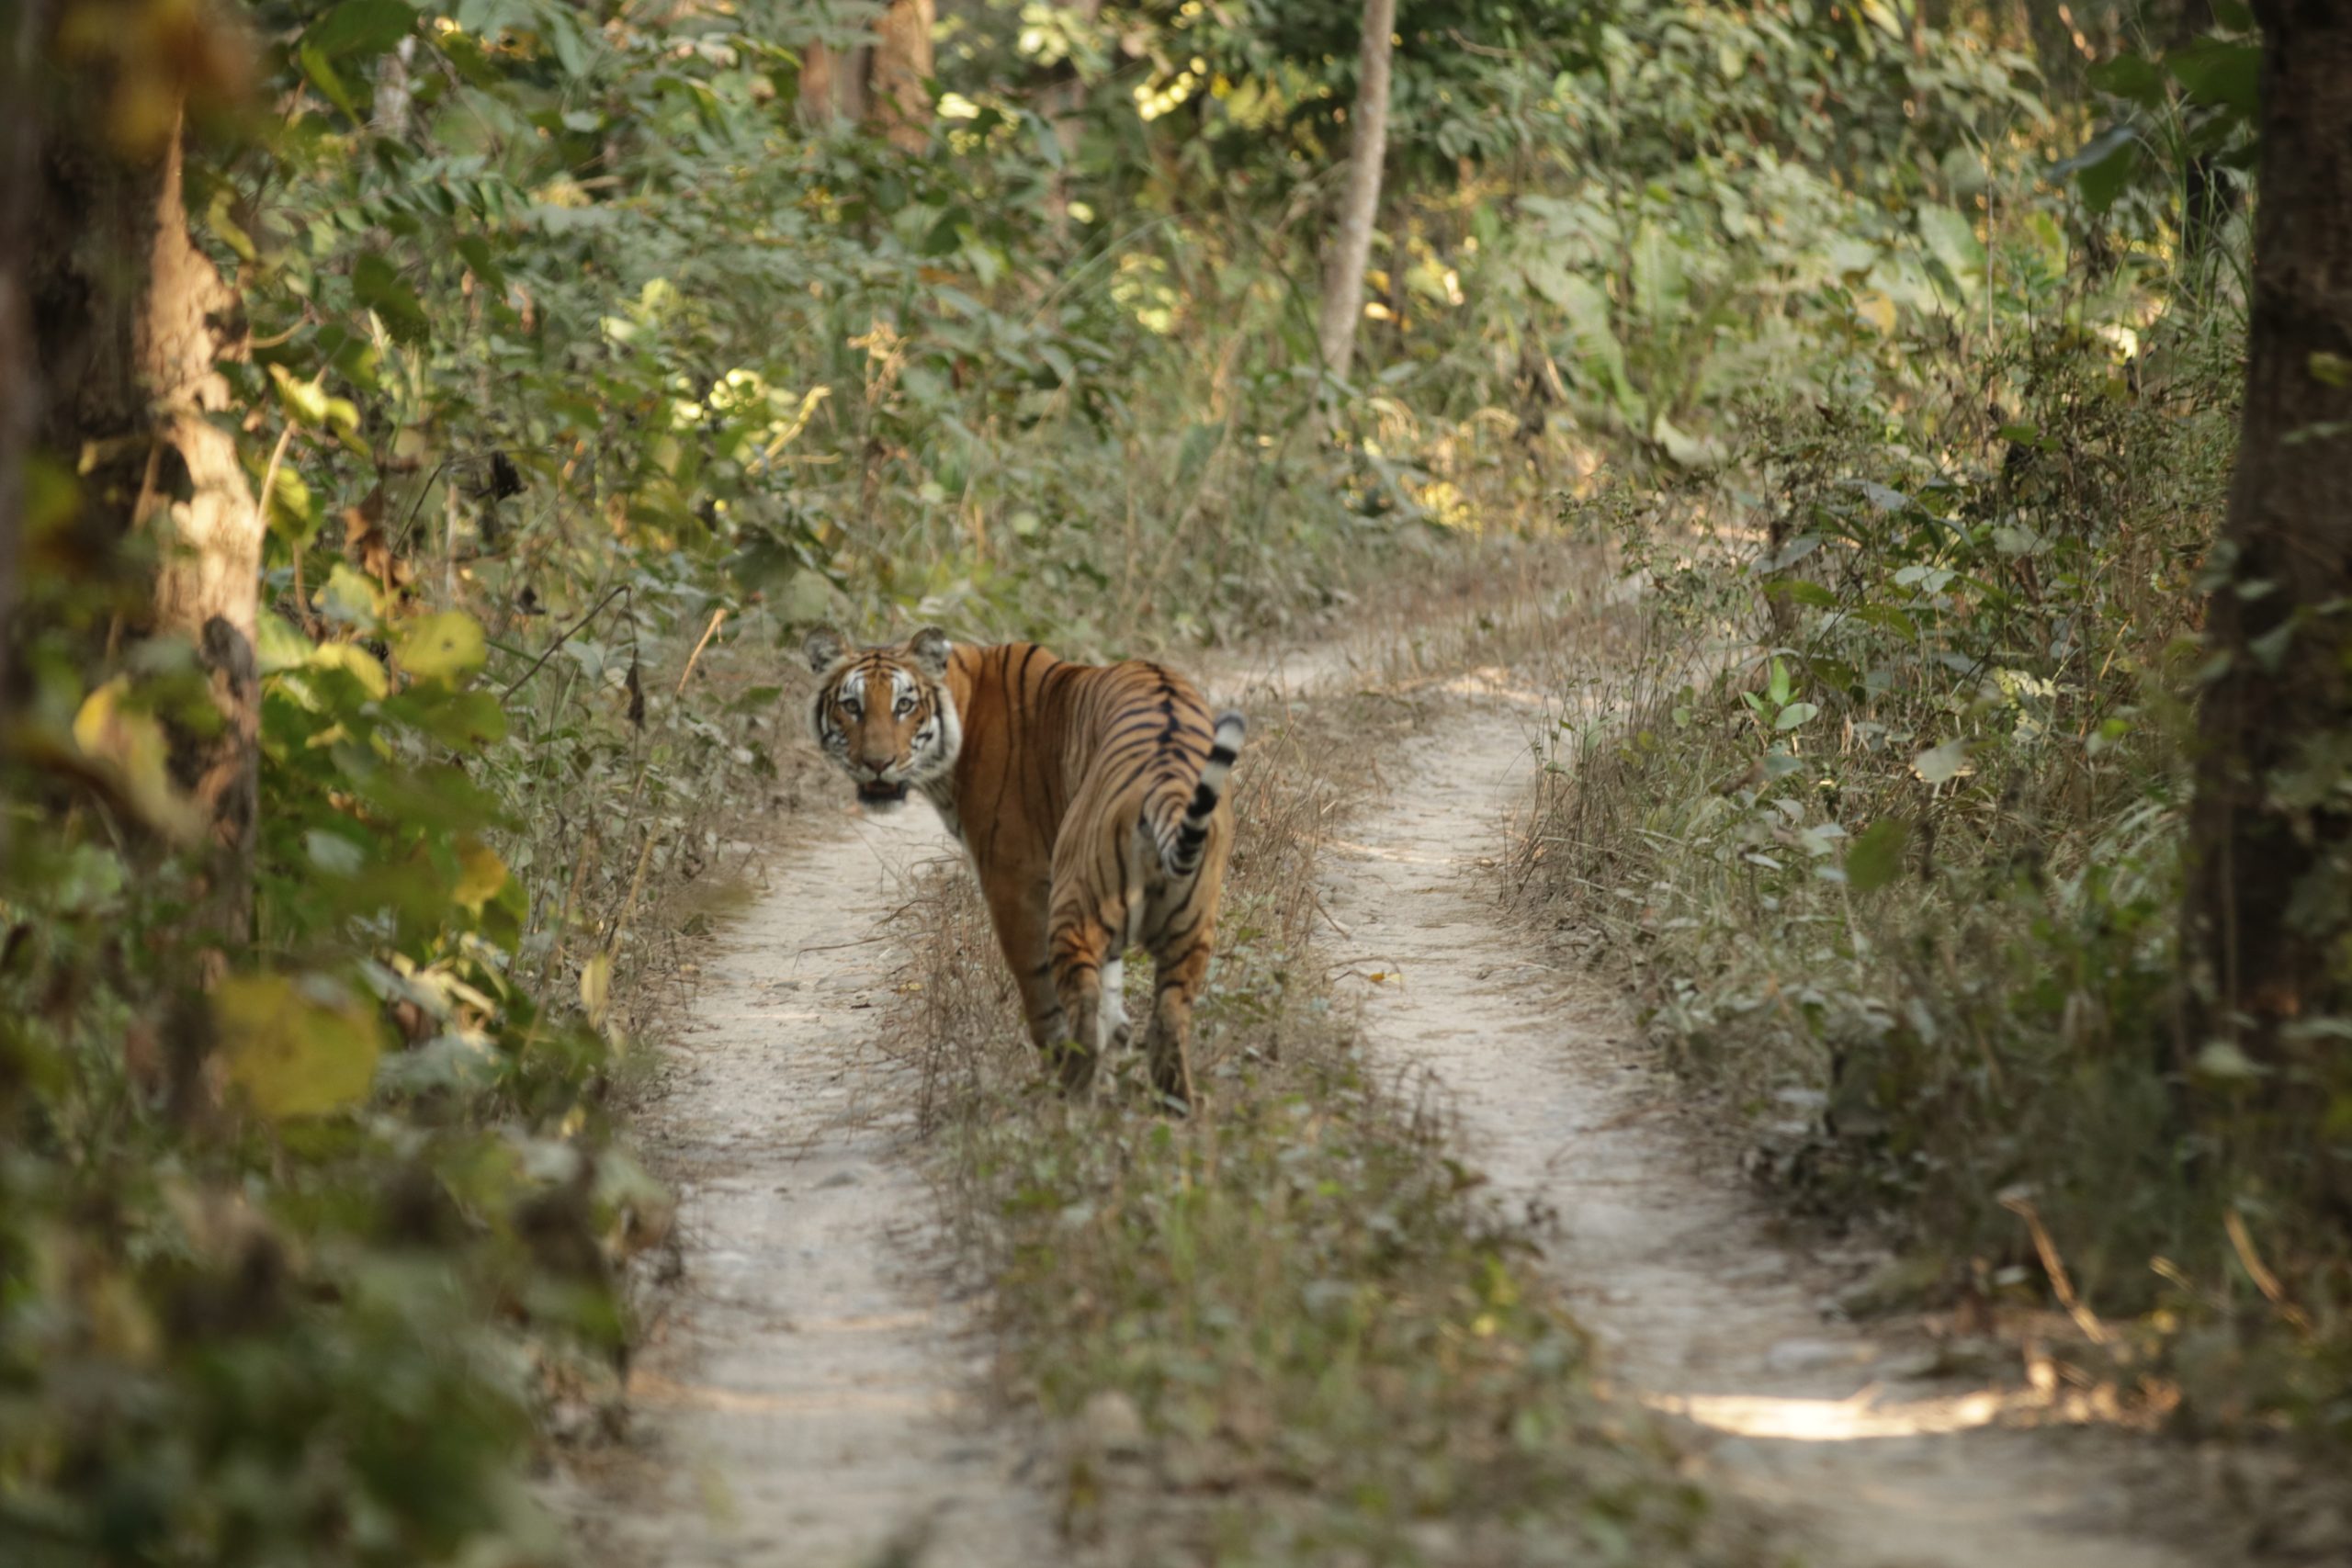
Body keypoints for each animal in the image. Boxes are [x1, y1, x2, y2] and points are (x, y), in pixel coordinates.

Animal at [805, 625, 1245, 1106]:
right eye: (852, 706)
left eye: (904, 705)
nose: (877, 764)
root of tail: (1166, 780)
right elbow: (1114, 1001)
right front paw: (1113, 1079)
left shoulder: (1011, 883)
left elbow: (1044, 997)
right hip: (1190, 922)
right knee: (1168, 1019)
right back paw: (1178, 1105)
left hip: (1074, 902)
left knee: (1083, 1010)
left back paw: (1067, 1101)